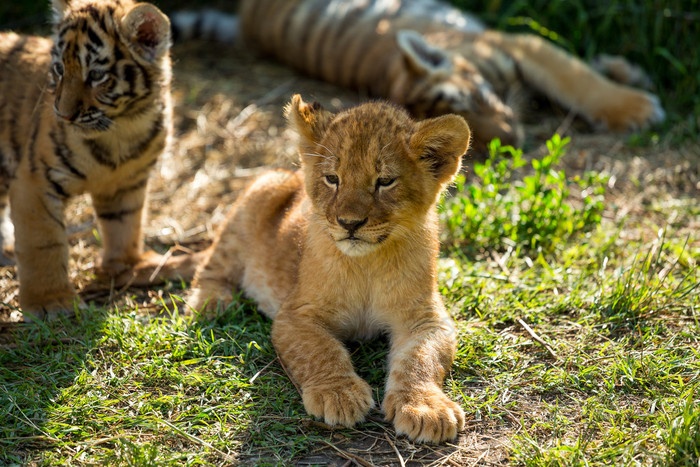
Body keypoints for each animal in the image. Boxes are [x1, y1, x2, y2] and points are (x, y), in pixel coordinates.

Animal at [0, 0, 197, 320]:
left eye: (95, 75)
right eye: (59, 69)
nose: (63, 115)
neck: (122, 128)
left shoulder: (126, 184)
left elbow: (125, 225)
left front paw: (129, 266)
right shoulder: (35, 181)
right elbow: (43, 242)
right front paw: (51, 302)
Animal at [230, 0, 660, 148]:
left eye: (475, 99)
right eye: (475, 138)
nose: (512, 142)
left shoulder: (521, 44)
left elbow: (576, 79)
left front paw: (635, 105)